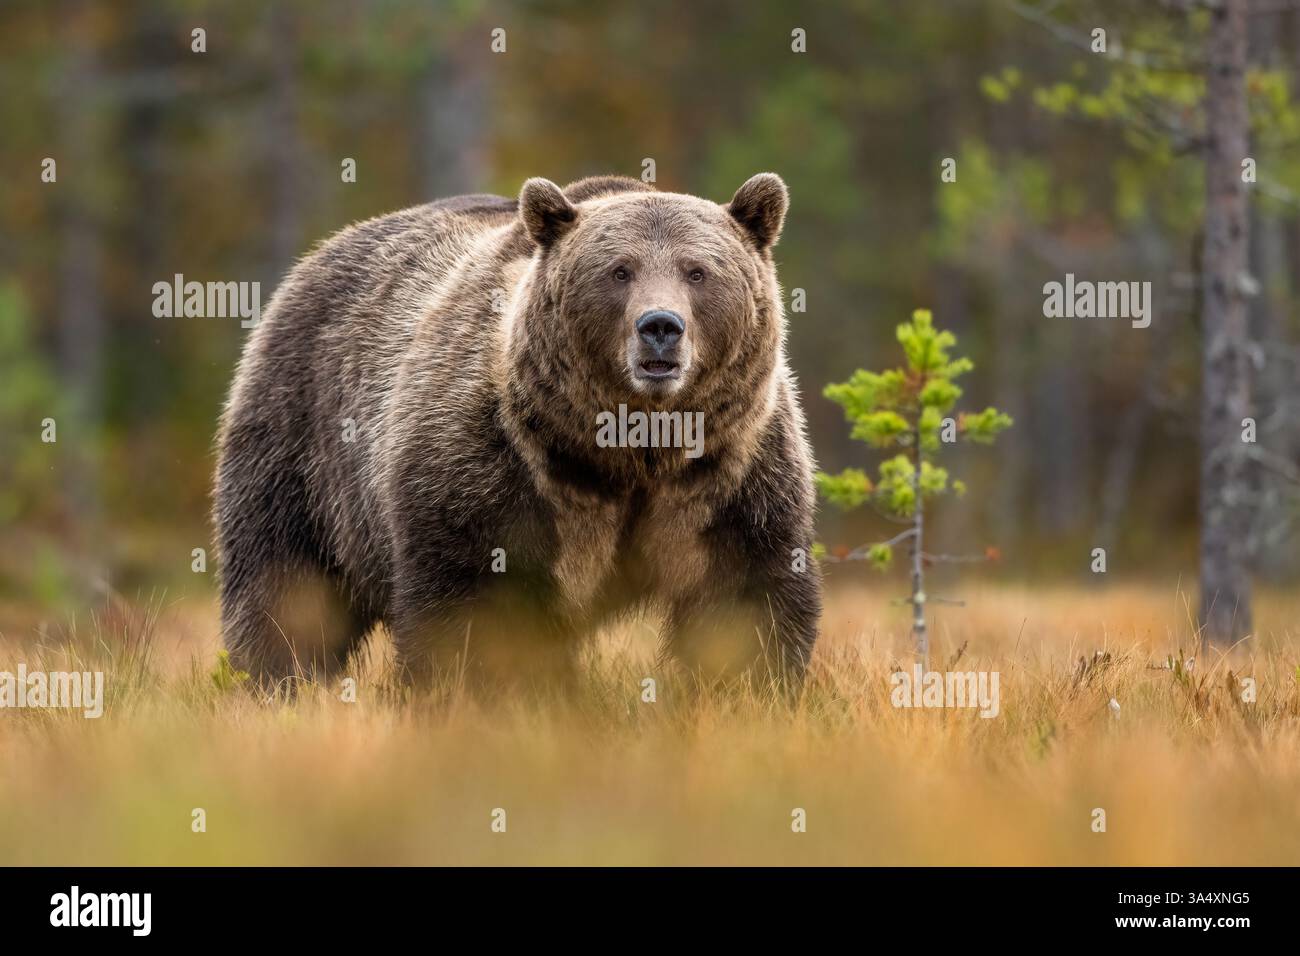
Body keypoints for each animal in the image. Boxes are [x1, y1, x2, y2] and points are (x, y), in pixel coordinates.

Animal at [213, 173, 821, 694]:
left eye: (697, 271)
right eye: (619, 270)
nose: (660, 327)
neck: (630, 450)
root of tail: (315, 257)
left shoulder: (728, 473)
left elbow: (743, 597)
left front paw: (746, 689)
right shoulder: (495, 462)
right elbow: (476, 603)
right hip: (302, 438)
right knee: (286, 581)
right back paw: (275, 680)